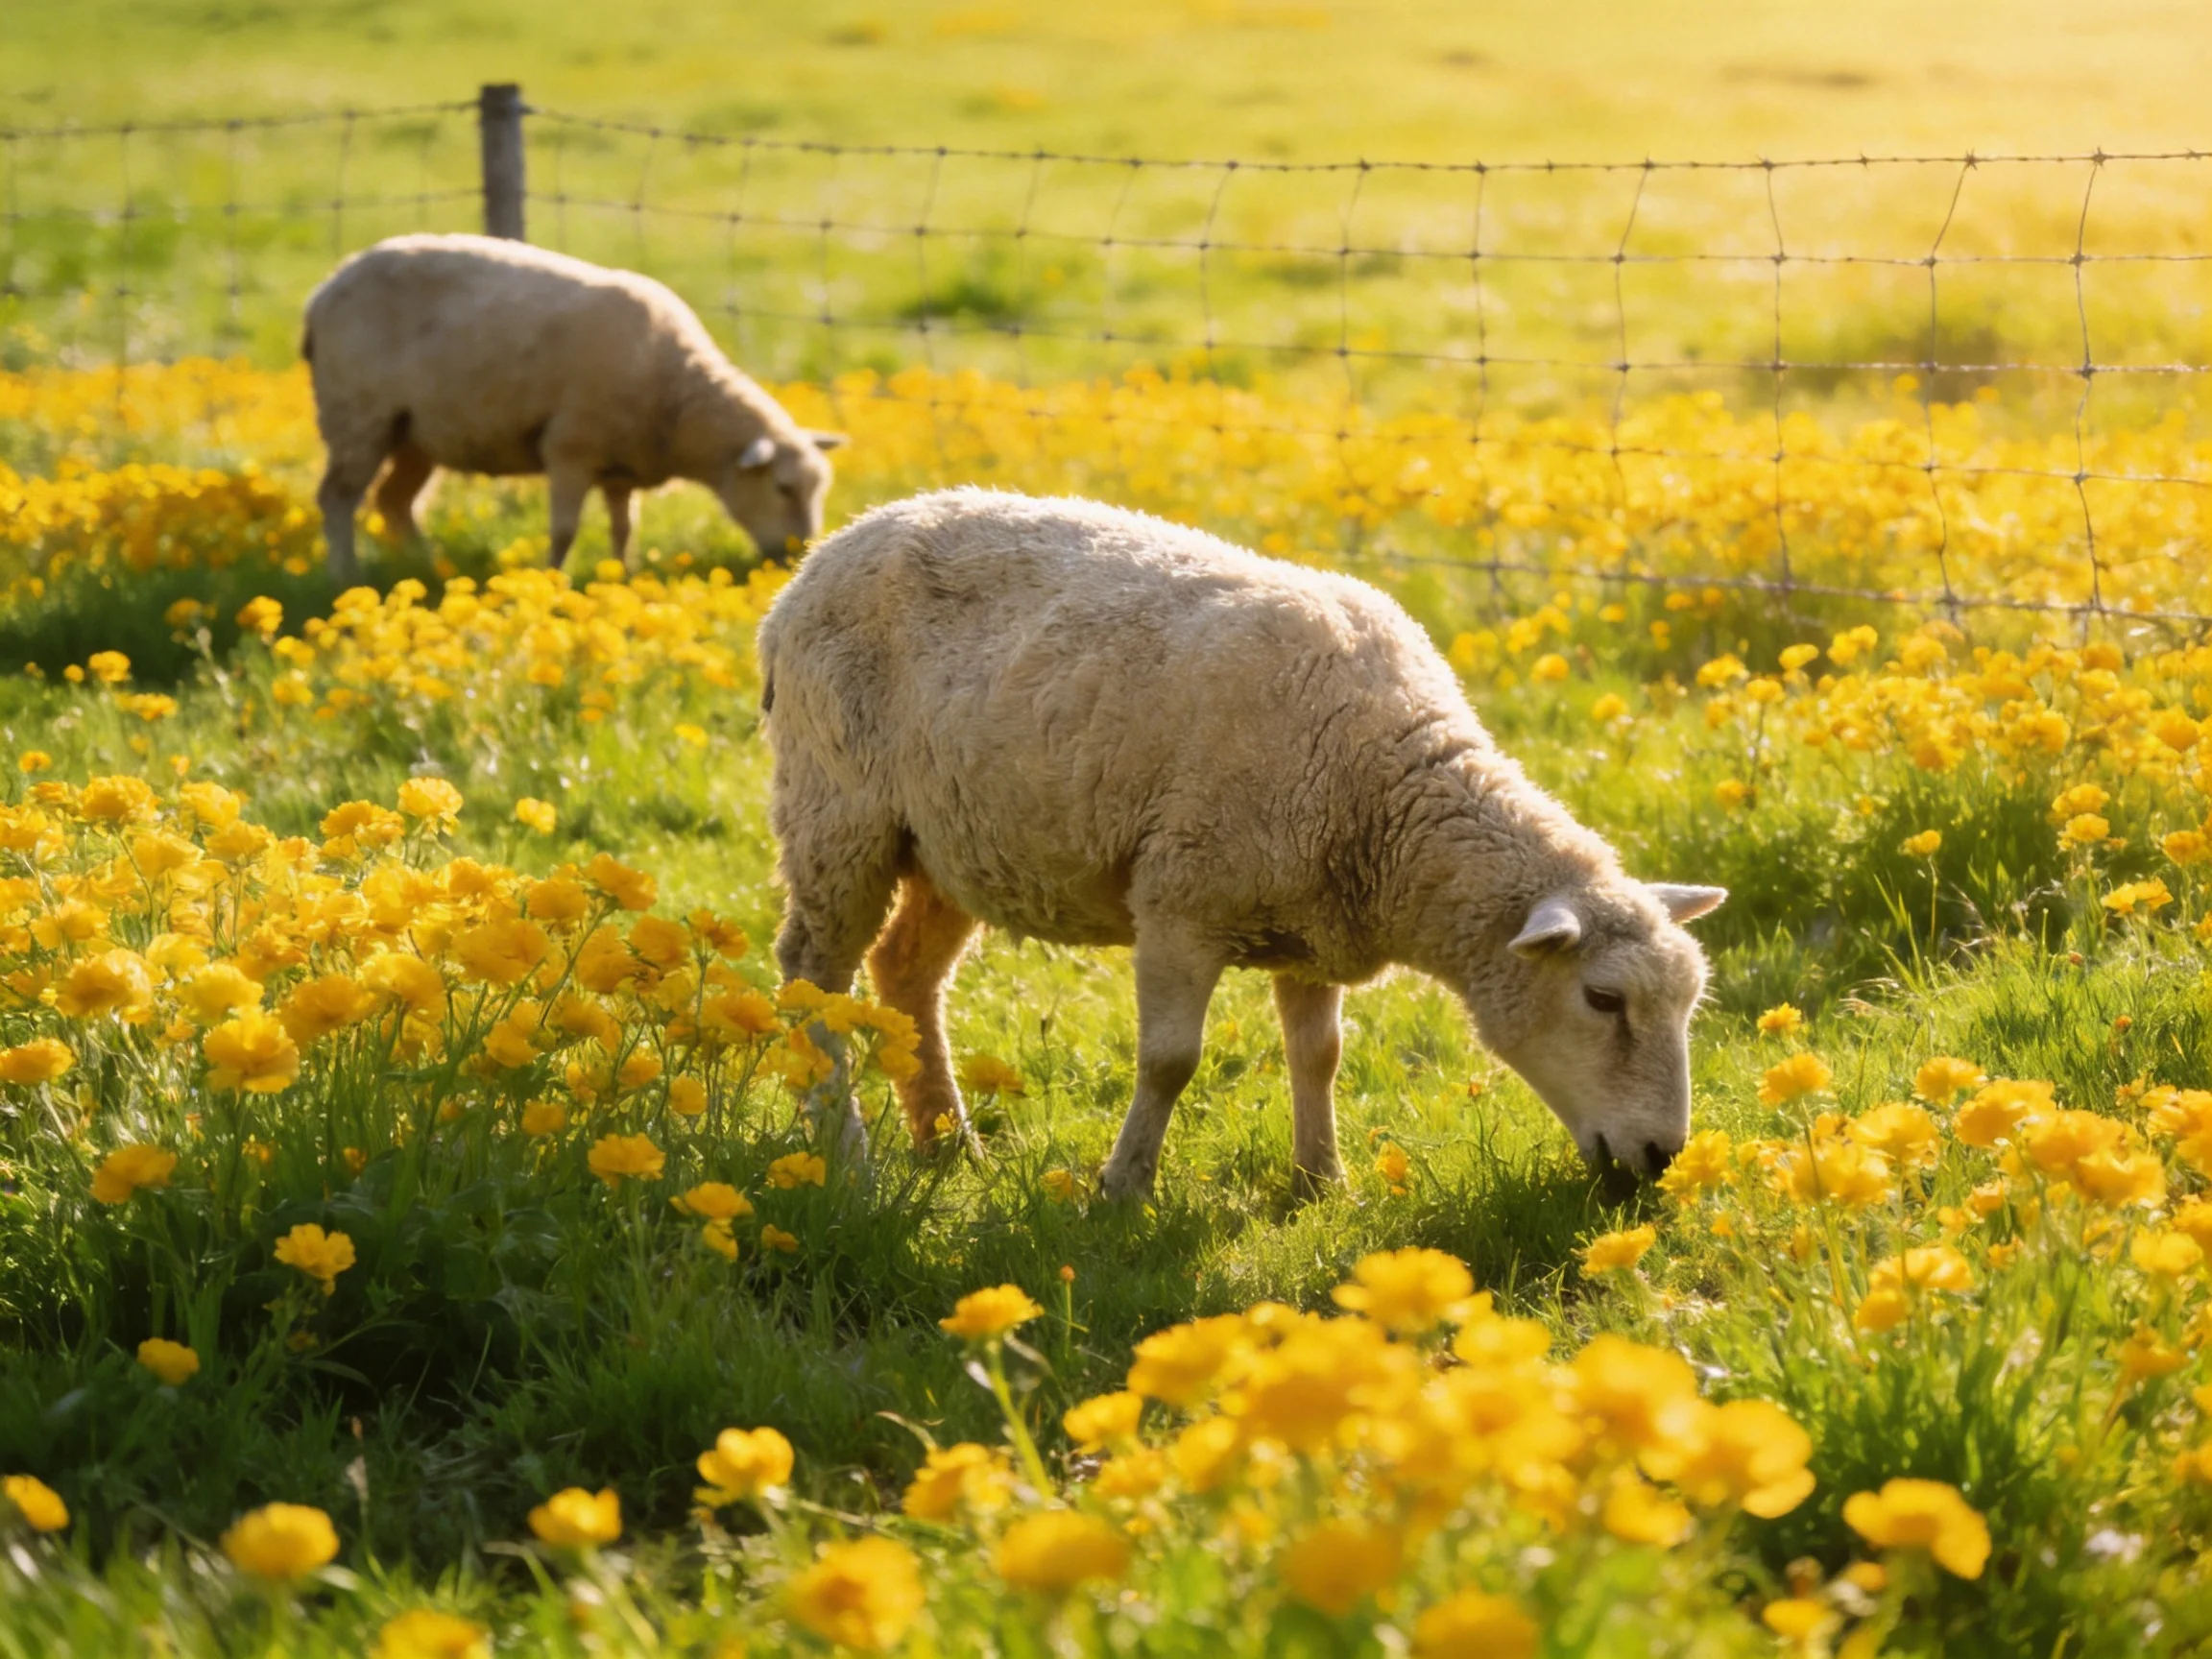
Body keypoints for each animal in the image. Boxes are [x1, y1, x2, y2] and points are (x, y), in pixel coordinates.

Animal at [300, 233, 845, 582]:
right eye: (782, 487)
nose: (797, 554)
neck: (676, 394)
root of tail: (325, 289)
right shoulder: (569, 447)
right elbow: (564, 530)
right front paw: (553, 579)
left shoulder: (622, 465)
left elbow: (624, 528)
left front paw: (623, 574)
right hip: (358, 415)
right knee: (338, 498)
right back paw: (344, 574)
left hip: (415, 431)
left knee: (394, 502)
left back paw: (426, 567)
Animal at [757, 488, 1726, 1199]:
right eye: (1603, 1000)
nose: (1663, 1159)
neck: (1384, 797)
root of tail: (822, 556)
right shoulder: (1179, 904)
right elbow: (1170, 1062)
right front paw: (1124, 1189)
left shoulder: (1319, 921)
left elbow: (1320, 1057)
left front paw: (1322, 1182)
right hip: (838, 810)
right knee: (813, 978)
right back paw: (845, 1153)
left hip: (952, 841)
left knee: (905, 974)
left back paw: (949, 1142)